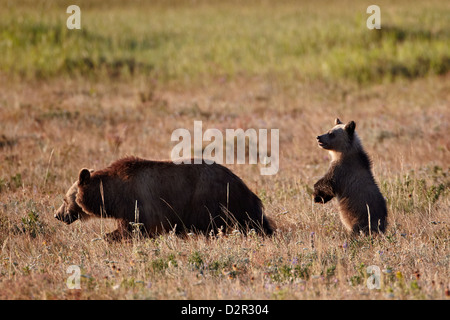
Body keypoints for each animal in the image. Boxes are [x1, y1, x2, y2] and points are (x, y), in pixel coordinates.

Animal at [56, 156, 274, 239]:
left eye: (65, 199)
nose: (58, 215)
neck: (112, 195)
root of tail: (239, 182)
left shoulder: (139, 205)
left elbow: (132, 229)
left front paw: (109, 237)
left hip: (209, 199)